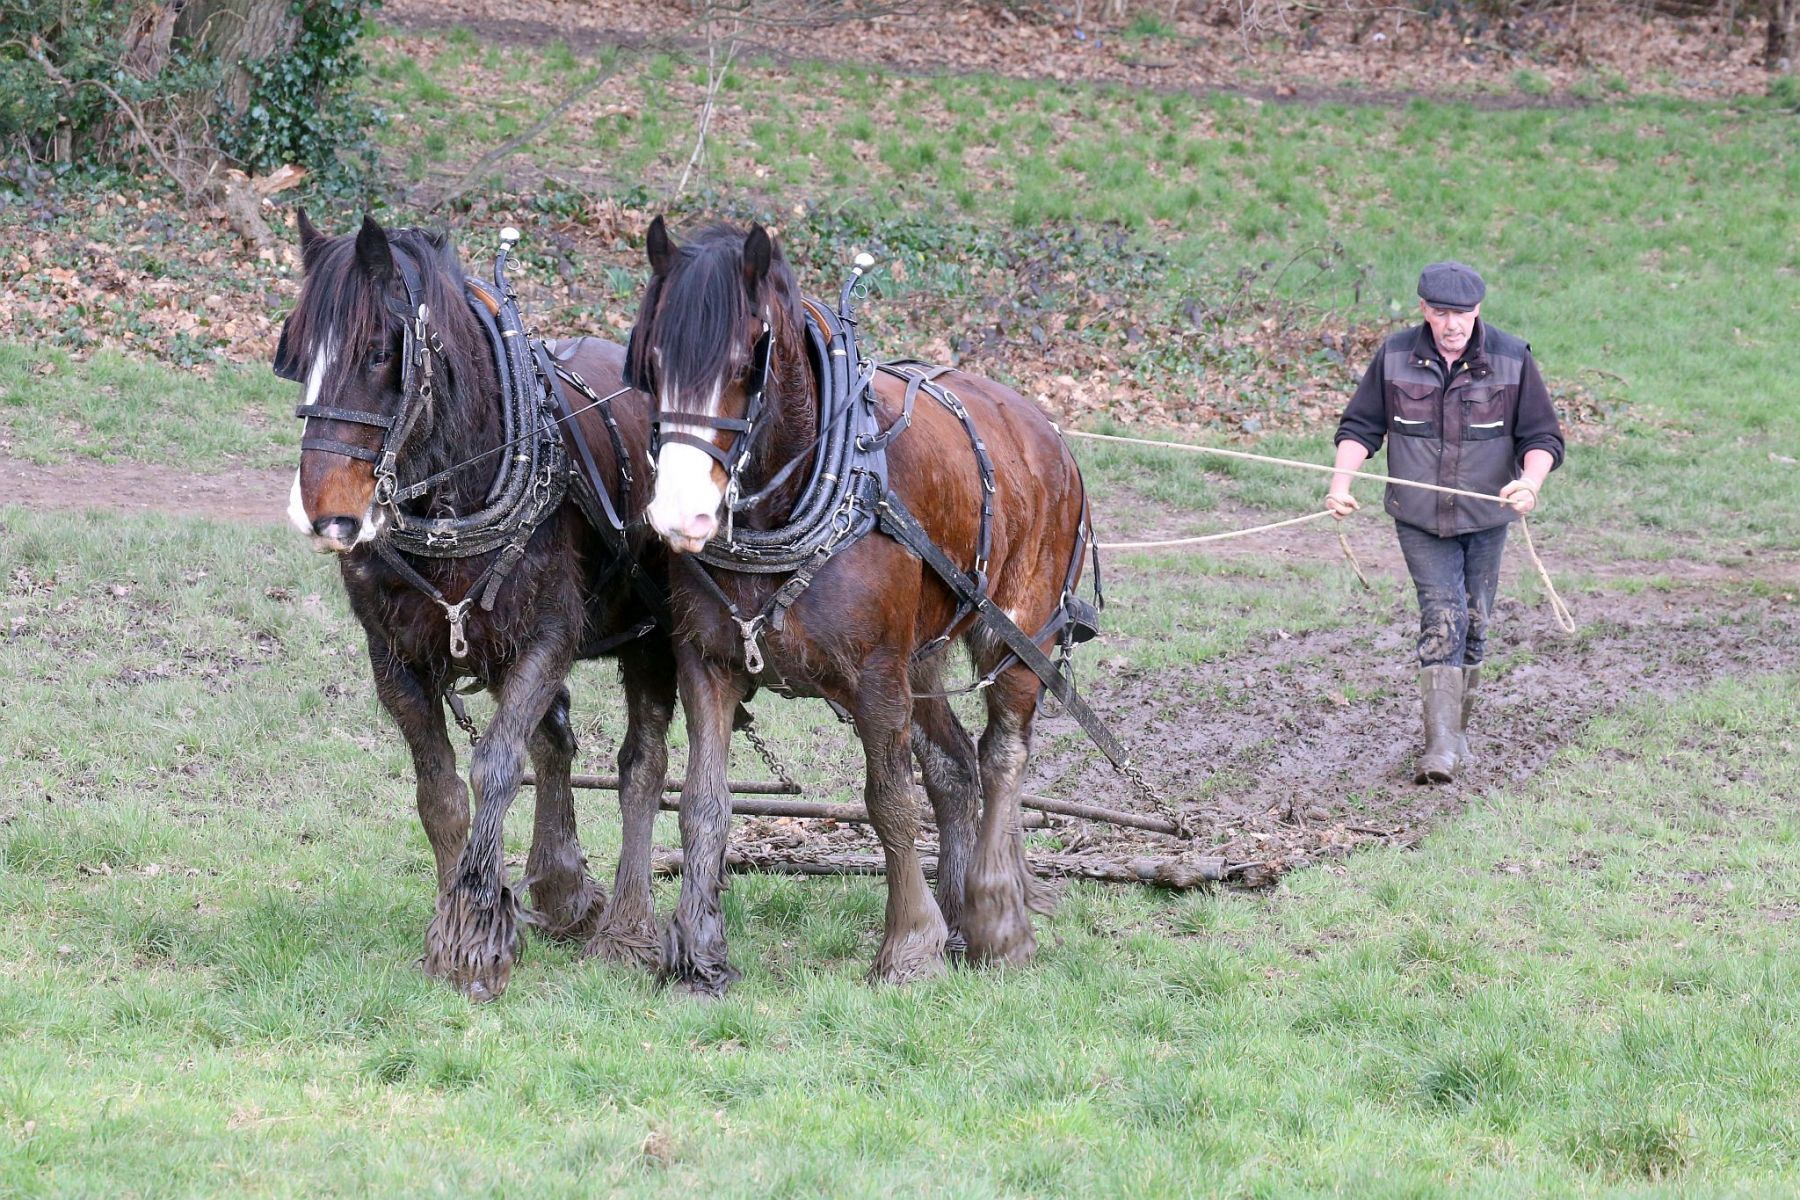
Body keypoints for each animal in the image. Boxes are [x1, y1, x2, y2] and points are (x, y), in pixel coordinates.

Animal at [276, 213, 674, 1001]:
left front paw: (476, 937)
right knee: (555, 741)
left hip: (653, 639)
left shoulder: (547, 636)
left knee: (641, 767)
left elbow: (495, 767)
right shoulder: (394, 659)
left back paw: (627, 927)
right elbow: (442, 791)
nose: (326, 516)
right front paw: (459, 916)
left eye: (380, 352)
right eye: (297, 356)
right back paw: (560, 885)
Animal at [624, 217, 1091, 993]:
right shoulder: (708, 664)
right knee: (955, 768)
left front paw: (908, 946)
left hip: (1020, 631)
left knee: (1001, 756)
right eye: (653, 362)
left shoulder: (876, 677)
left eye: (745, 364)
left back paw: (998, 917)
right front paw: (698, 953)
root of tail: (1047, 432)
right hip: (924, 655)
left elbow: (889, 802)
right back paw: (963, 915)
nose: (679, 516)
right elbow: (703, 803)